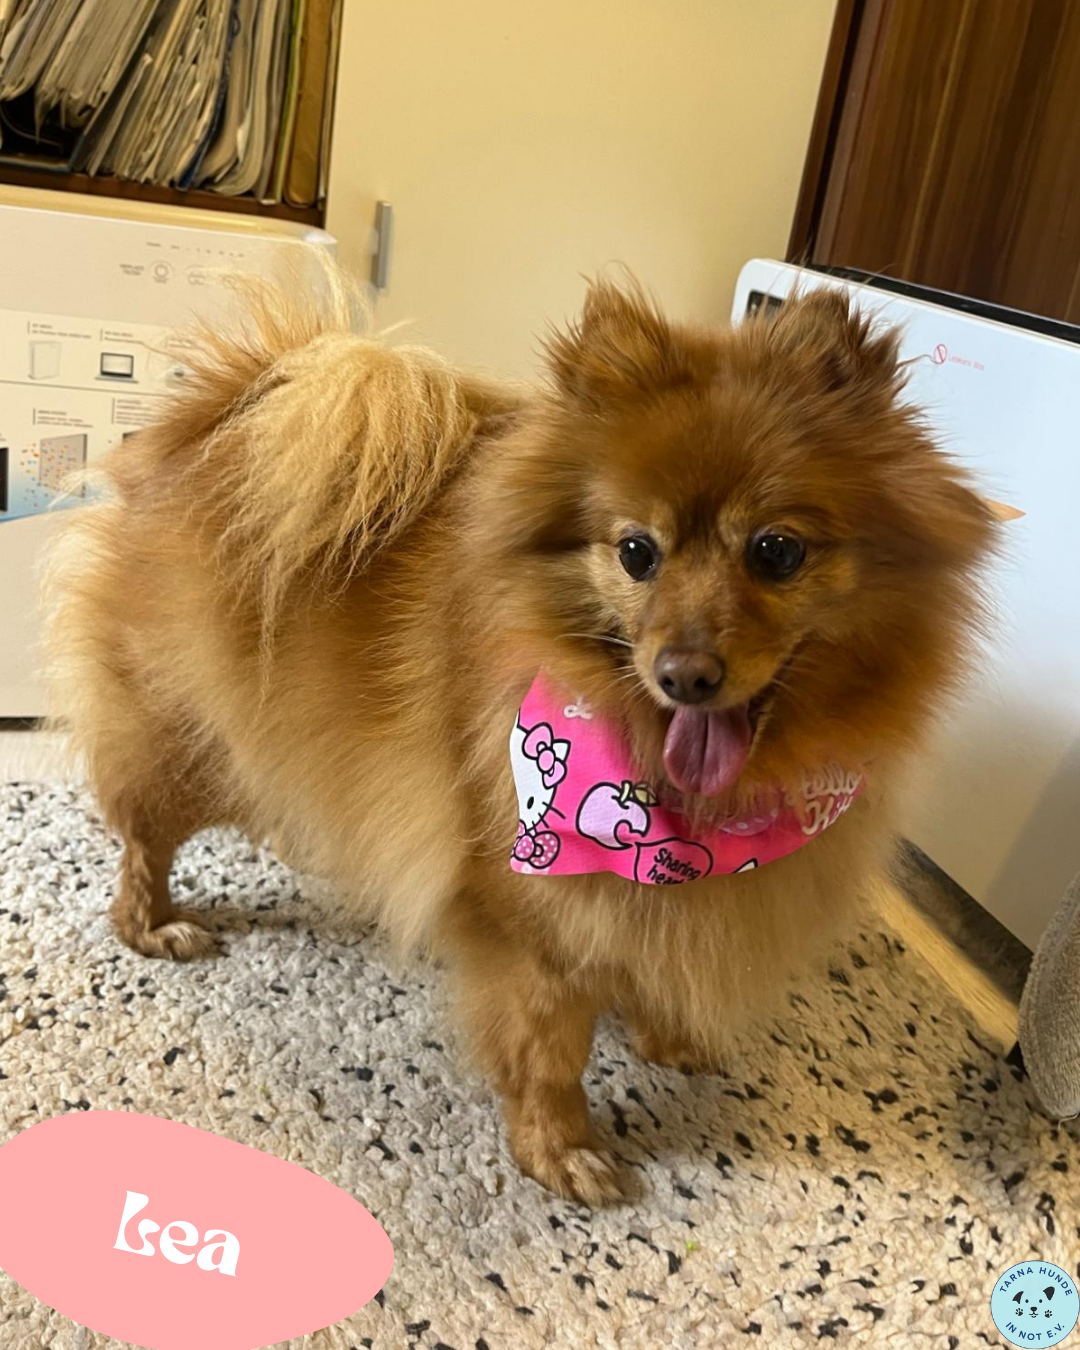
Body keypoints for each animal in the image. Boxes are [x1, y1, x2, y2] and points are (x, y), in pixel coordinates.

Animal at [45, 267, 999, 1204]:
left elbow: (657, 964)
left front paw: (665, 1035)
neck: (686, 804)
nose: (684, 674)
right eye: (637, 552)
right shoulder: (534, 927)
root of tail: (222, 412)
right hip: (185, 738)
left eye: (776, 551)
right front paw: (560, 1149)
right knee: (142, 838)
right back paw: (154, 925)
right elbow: (549, 1052)